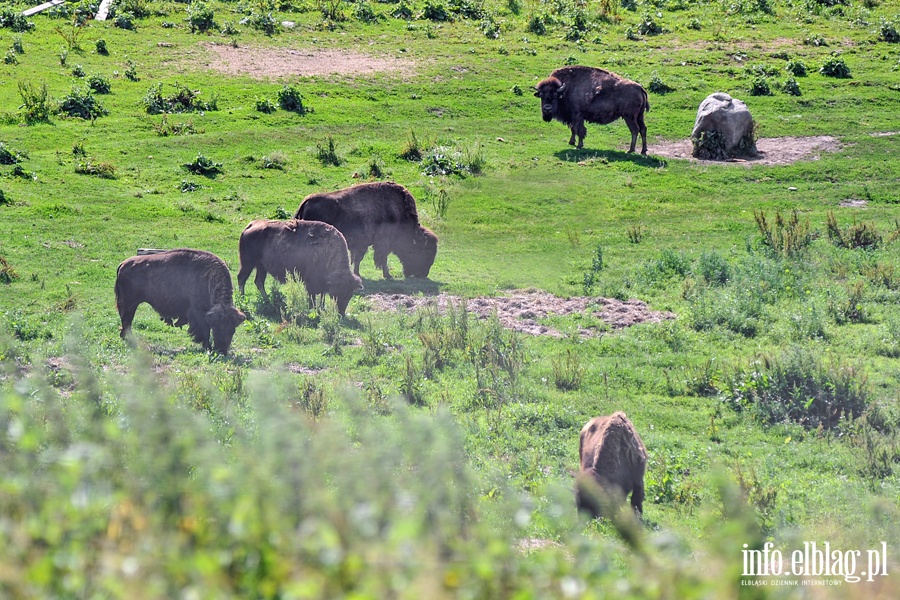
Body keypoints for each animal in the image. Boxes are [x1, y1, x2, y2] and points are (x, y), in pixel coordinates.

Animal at [114, 250, 246, 356]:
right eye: (217, 327)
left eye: (232, 330)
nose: (222, 351)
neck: (209, 277)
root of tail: (122, 264)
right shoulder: (199, 313)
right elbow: (205, 331)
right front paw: (207, 347)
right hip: (129, 304)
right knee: (127, 321)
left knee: (126, 322)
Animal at [294, 182, 438, 280]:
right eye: (426, 252)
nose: (423, 274)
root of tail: (306, 201)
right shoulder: (382, 244)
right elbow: (382, 259)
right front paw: (388, 275)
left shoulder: (363, 245)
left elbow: (358, 259)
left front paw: (357, 273)